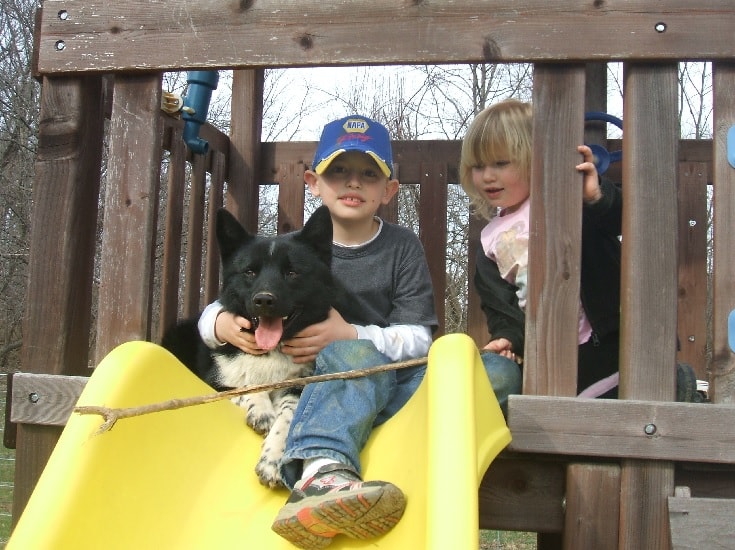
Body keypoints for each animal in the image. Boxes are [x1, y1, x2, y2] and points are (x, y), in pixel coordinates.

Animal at [164, 206, 336, 488]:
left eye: (292, 273)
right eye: (249, 272)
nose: (264, 300)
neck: (270, 352)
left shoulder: (300, 384)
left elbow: (288, 414)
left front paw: (273, 458)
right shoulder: (217, 384)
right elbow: (245, 385)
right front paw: (261, 409)